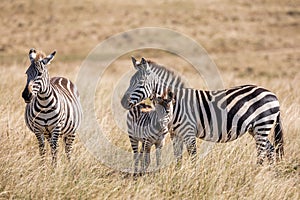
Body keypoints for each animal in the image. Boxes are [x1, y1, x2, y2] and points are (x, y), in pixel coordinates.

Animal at [121, 57, 284, 165]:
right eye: (130, 82)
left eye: (140, 83)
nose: (123, 102)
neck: (176, 104)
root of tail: (273, 94)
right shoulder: (176, 135)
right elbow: (178, 158)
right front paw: (177, 177)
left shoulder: (189, 132)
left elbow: (193, 157)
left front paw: (192, 179)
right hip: (256, 128)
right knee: (271, 150)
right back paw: (270, 175)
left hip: (262, 125)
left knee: (262, 153)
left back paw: (259, 174)